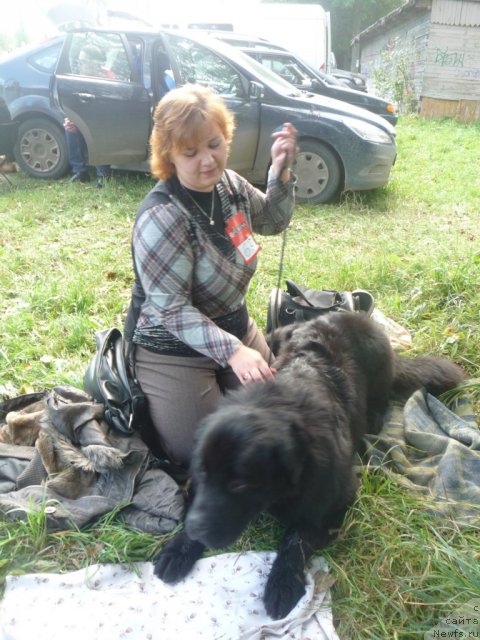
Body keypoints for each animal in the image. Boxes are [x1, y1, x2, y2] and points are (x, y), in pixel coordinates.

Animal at [153, 312, 464, 616]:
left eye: (239, 484)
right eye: (202, 474)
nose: (195, 528)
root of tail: (350, 314)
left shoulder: (334, 500)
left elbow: (296, 538)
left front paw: (282, 583)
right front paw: (179, 548)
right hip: (279, 334)